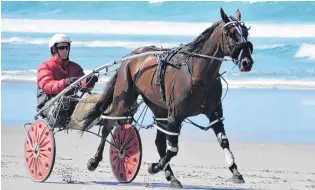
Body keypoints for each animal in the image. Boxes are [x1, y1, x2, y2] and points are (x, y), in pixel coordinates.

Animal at [81, 8, 254, 188]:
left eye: (246, 32)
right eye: (231, 33)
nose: (247, 62)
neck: (197, 74)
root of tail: (131, 57)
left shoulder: (214, 112)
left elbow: (223, 141)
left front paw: (235, 172)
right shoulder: (175, 115)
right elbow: (173, 149)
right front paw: (154, 166)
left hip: (159, 108)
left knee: (159, 142)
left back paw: (171, 177)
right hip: (123, 100)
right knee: (108, 124)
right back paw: (95, 161)